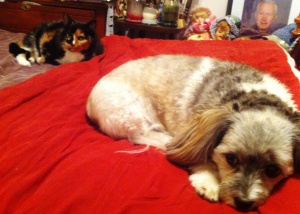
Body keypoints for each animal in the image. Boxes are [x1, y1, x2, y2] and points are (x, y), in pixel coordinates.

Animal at [85, 54, 298, 211]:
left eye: (273, 170)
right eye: (231, 159)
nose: (244, 203)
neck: (254, 95)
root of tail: (89, 104)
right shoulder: (195, 129)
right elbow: (200, 155)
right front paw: (209, 180)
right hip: (132, 112)